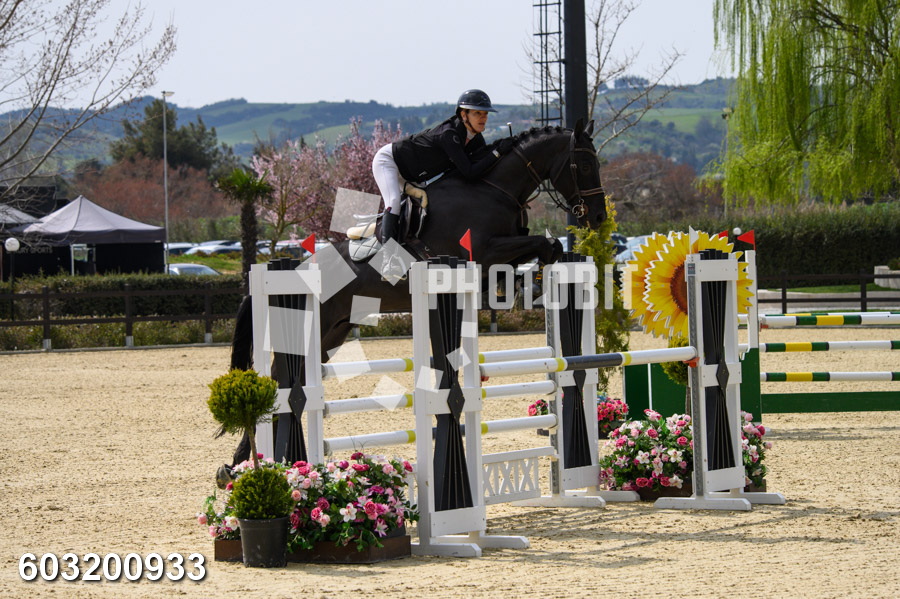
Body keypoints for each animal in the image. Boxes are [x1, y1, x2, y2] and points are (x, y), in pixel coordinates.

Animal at [224, 119, 606, 467]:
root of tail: (293, 270)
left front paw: (532, 279)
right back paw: (245, 462)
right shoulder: (483, 251)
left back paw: (251, 463)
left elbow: (544, 247)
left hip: (332, 333)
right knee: (279, 380)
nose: (598, 217)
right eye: (586, 165)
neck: (493, 189)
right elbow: (541, 243)